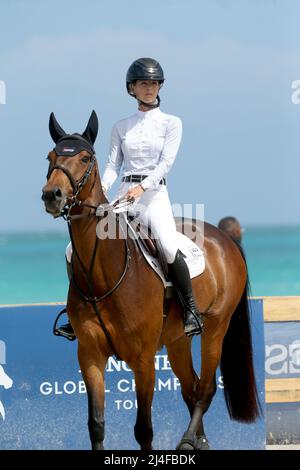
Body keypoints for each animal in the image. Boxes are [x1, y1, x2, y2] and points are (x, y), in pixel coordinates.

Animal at [41, 111, 260, 452]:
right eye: (51, 157)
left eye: (85, 158)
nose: (52, 195)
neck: (103, 274)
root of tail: (225, 239)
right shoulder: (89, 355)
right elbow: (96, 425)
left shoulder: (143, 359)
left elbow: (143, 429)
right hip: (178, 339)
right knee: (190, 388)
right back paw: (200, 442)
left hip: (216, 328)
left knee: (205, 389)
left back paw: (187, 441)